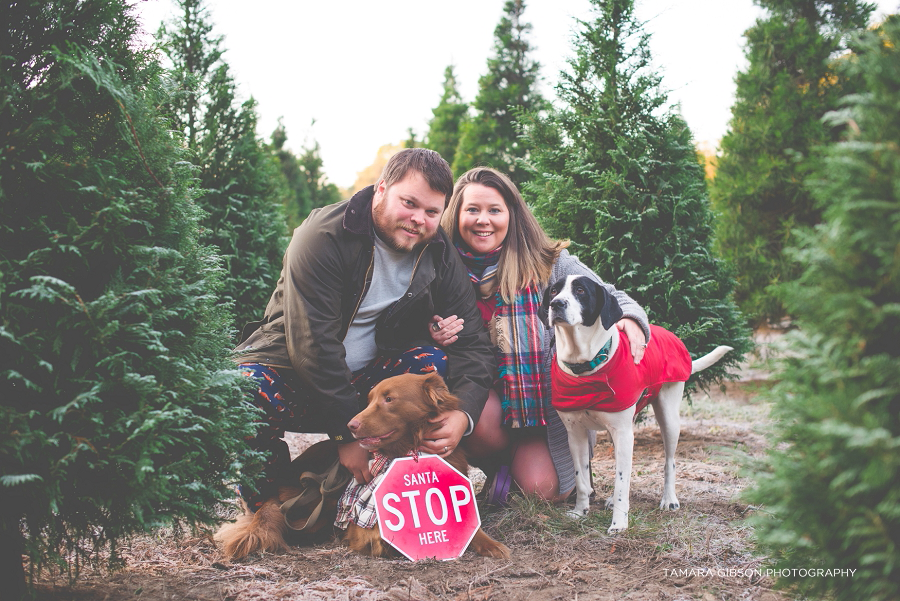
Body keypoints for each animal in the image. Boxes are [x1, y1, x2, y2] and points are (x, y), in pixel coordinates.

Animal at [346, 370, 512, 556]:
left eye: (389, 399)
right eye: (369, 401)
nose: (350, 425)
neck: (413, 450)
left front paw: (491, 545)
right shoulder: (363, 531)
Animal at [540, 274, 732, 532]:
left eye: (580, 290)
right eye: (553, 291)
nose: (556, 304)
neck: (586, 365)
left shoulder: (623, 433)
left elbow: (622, 481)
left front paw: (619, 523)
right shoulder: (575, 434)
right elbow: (581, 478)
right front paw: (580, 512)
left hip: (668, 418)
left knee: (669, 462)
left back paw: (669, 499)